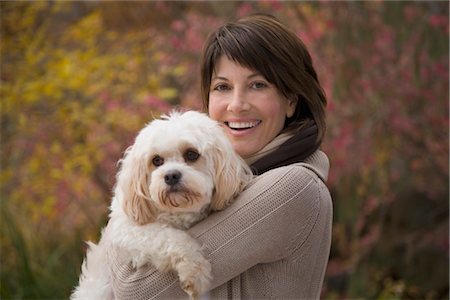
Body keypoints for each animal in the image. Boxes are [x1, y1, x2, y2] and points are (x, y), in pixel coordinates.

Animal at [72, 110, 251, 300]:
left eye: (191, 154)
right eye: (156, 160)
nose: (171, 176)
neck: (177, 212)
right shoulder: (127, 231)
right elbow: (169, 236)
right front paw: (195, 271)